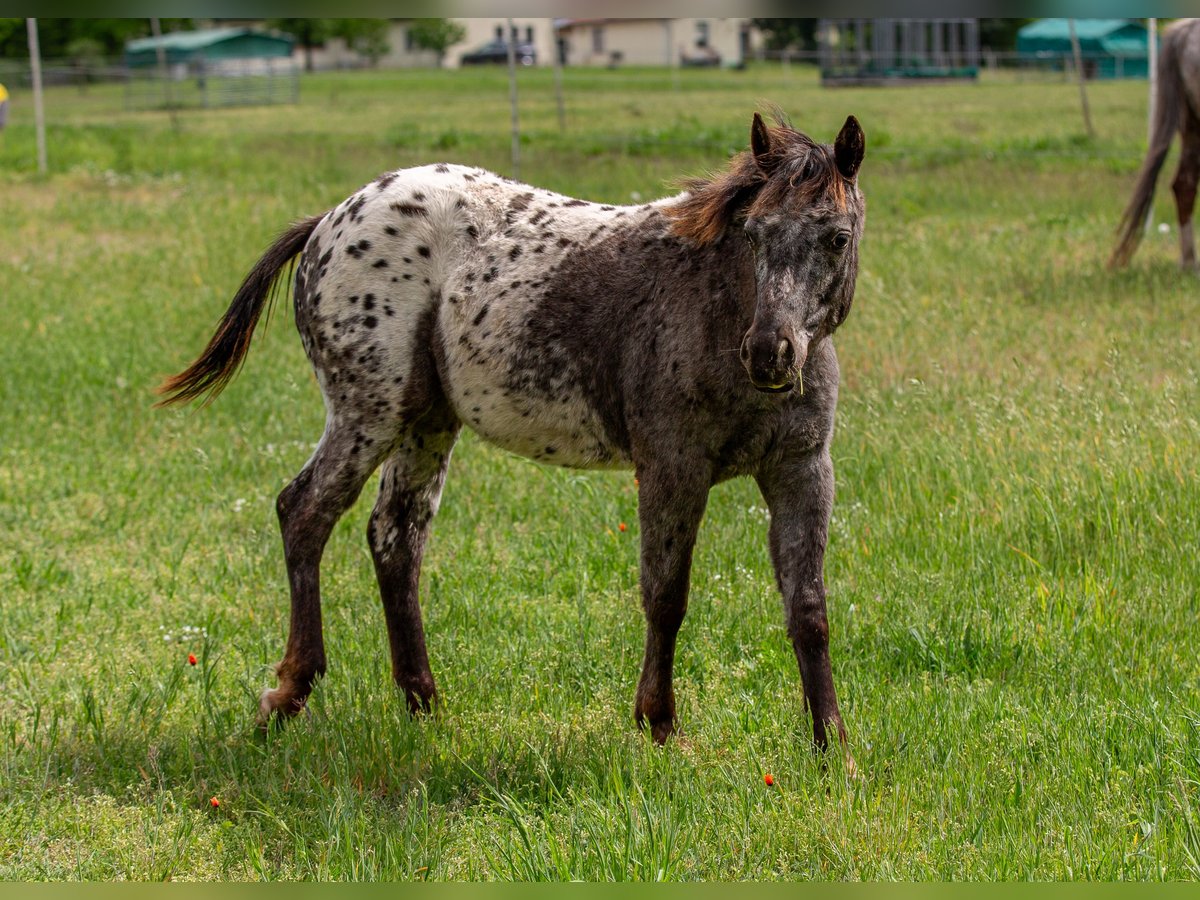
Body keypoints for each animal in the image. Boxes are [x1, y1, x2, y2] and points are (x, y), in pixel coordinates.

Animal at [158, 111, 867, 757]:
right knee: (305, 511)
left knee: (395, 538)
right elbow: (666, 596)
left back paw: (423, 703)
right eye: (753, 233)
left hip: (426, 422)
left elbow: (809, 608)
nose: (770, 354)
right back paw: (289, 692)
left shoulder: (802, 470)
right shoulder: (673, 468)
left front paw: (832, 744)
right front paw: (659, 724)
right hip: (369, 413)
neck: (718, 310)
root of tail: (330, 220)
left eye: (836, 237)